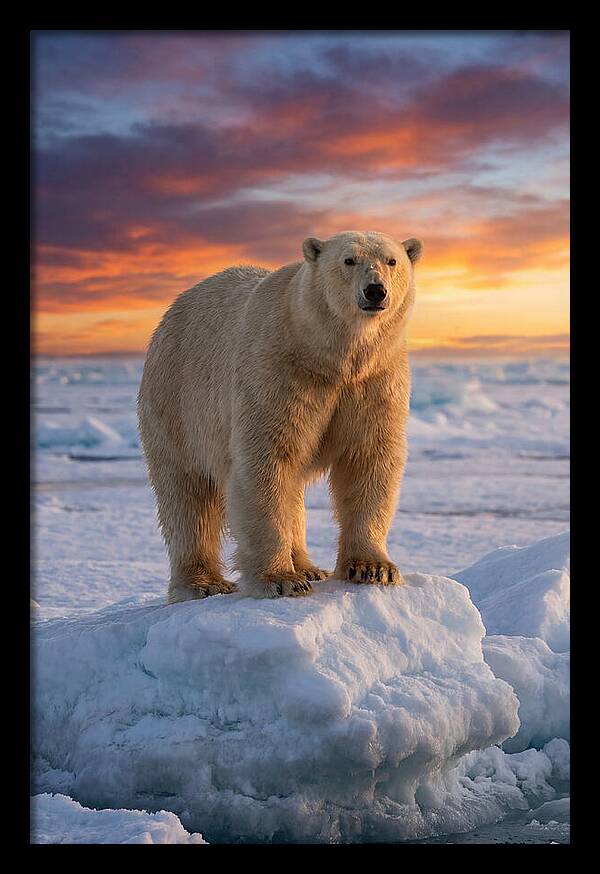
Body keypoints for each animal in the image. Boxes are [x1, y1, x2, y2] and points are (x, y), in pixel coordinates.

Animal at [137, 230, 422, 602]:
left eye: (391, 261)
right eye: (349, 260)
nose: (375, 290)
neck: (329, 356)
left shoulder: (376, 380)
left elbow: (369, 458)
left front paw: (373, 568)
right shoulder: (277, 371)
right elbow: (265, 461)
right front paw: (281, 579)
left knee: (291, 490)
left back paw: (309, 567)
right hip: (176, 401)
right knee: (187, 495)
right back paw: (203, 583)